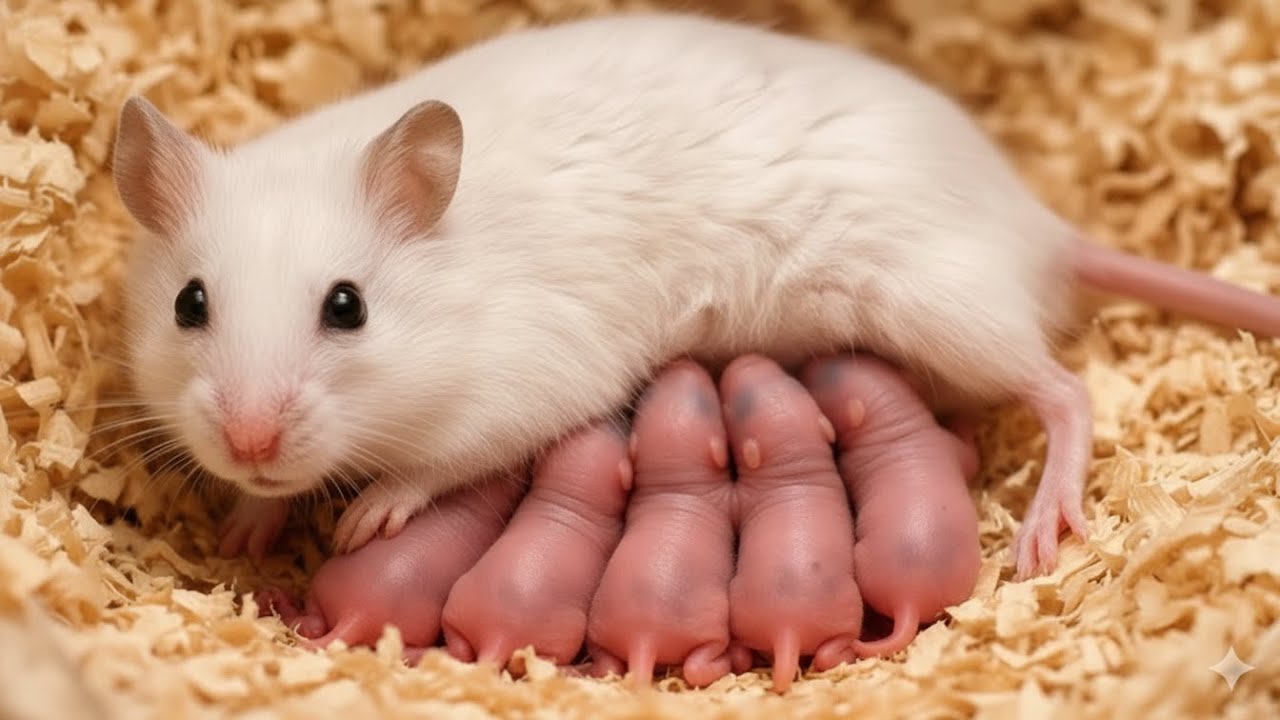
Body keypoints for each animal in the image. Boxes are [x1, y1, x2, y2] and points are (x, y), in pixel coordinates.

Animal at [111, 11, 1280, 580]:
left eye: (348, 307)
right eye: (189, 306)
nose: (250, 442)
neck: (456, 291)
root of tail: (1041, 225)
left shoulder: (528, 384)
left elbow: (440, 466)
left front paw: (367, 517)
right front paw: (246, 529)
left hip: (938, 306)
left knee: (1064, 392)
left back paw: (1043, 530)